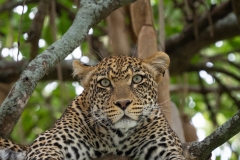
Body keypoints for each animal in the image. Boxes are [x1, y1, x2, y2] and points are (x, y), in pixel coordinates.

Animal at [0, 52, 186, 159]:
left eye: (137, 79)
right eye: (105, 83)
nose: (123, 103)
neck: (118, 138)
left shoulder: (166, 148)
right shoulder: (48, 142)